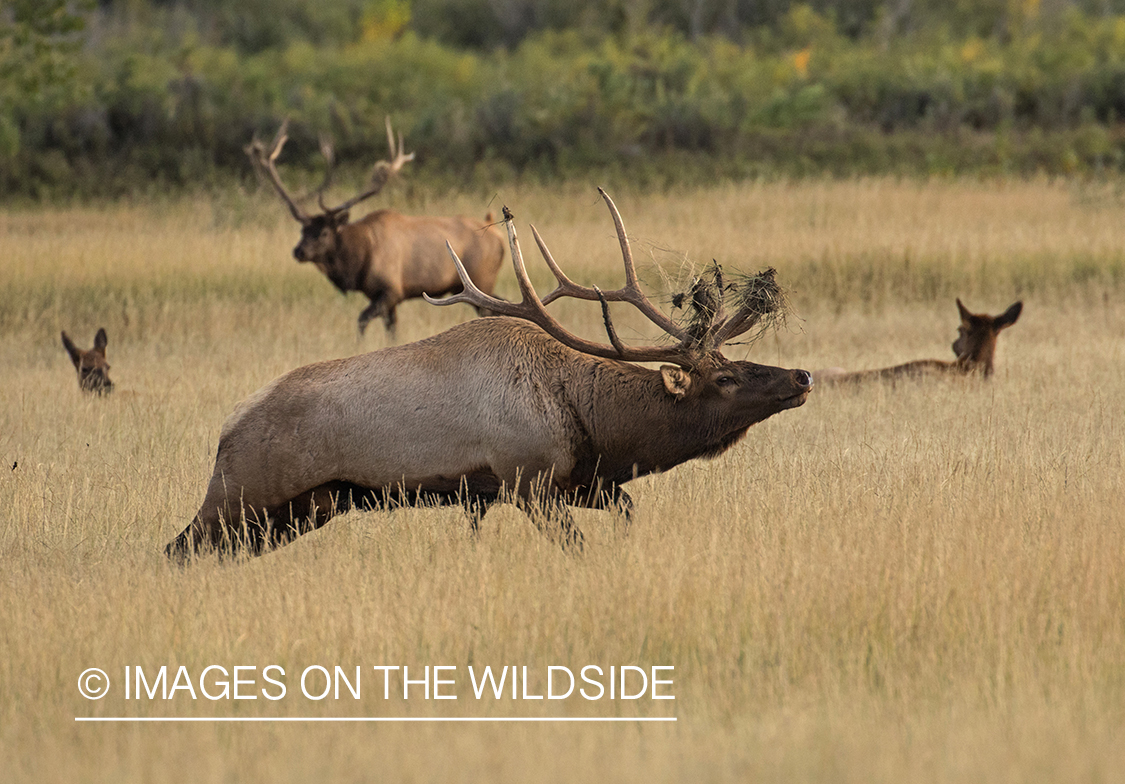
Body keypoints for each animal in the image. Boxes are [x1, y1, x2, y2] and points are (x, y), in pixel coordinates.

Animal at [164, 186, 810, 560]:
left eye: (734, 362)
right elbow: (577, 549)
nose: (801, 377)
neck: (596, 424)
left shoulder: (583, 482)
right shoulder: (526, 480)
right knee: (175, 548)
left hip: (297, 512)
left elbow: (628, 514)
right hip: (240, 494)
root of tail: (227, 427)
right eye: (724, 379)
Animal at [252, 120, 510, 335]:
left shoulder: (391, 290)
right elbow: (391, 329)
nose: (299, 251)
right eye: (302, 231)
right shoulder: (387, 298)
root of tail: (498, 237)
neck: (358, 259)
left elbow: (362, 320)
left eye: (323, 233)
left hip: (482, 279)